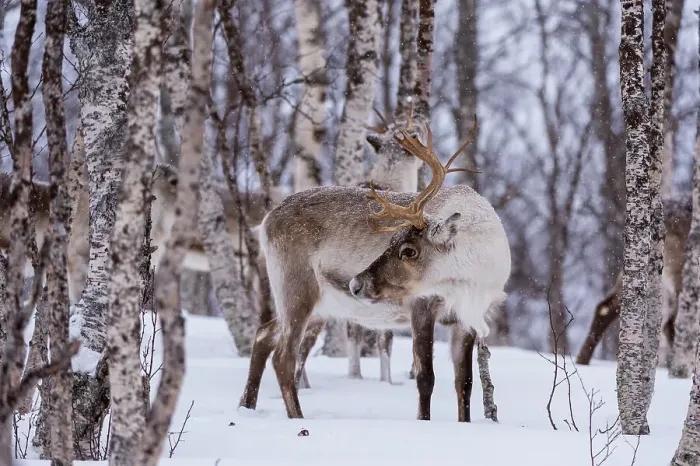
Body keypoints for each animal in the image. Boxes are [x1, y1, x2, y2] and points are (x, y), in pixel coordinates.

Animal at [239, 119, 512, 421]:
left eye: (409, 250)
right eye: (390, 241)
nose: (356, 284)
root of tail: (266, 221)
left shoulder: (466, 319)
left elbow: (464, 382)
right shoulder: (422, 305)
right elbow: (425, 377)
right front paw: (423, 421)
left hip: (314, 304)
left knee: (263, 335)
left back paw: (246, 407)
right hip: (296, 288)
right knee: (284, 356)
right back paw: (296, 416)